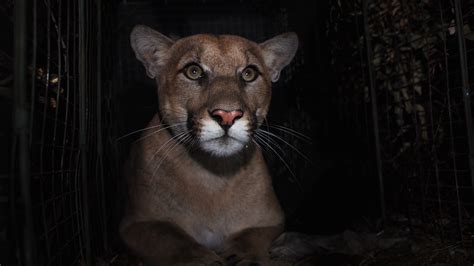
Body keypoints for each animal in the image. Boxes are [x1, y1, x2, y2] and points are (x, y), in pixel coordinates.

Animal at [120, 24, 298, 264]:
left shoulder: (270, 221)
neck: (214, 172)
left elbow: (249, 237)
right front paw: (203, 259)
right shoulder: (136, 224)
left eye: (249, 73)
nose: (227, 115)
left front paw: (242, 257)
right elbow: (173, 240)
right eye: (193, 71)